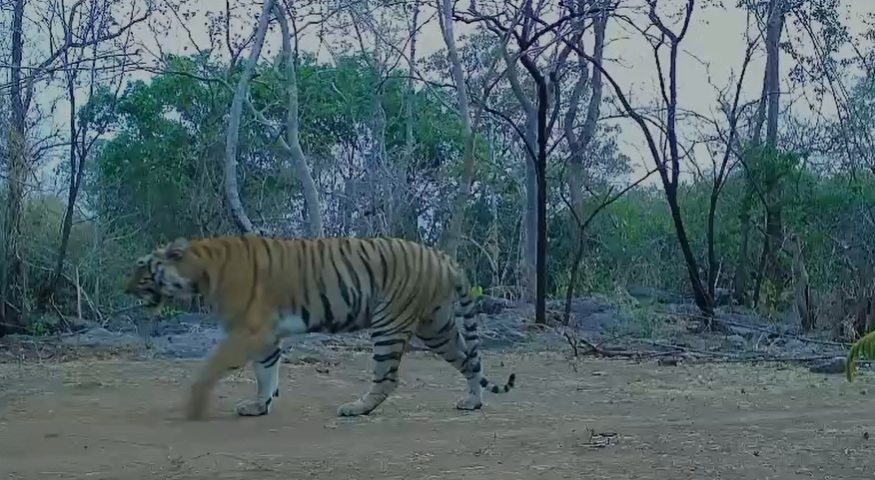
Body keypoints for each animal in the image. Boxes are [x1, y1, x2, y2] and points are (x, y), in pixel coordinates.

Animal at [125, 234, 516, 420]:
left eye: (143, 267)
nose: (124, 288)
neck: (201, 269)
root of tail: (444, 257)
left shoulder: (247, 331)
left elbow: (210, 368)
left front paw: (192, 407)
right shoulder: (265, 336)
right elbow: (266, 373)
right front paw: (259, 406)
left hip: (390, 323)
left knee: (387, 378)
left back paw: (356, 408)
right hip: (436, 326)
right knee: (470, 359)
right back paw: (472, 401)